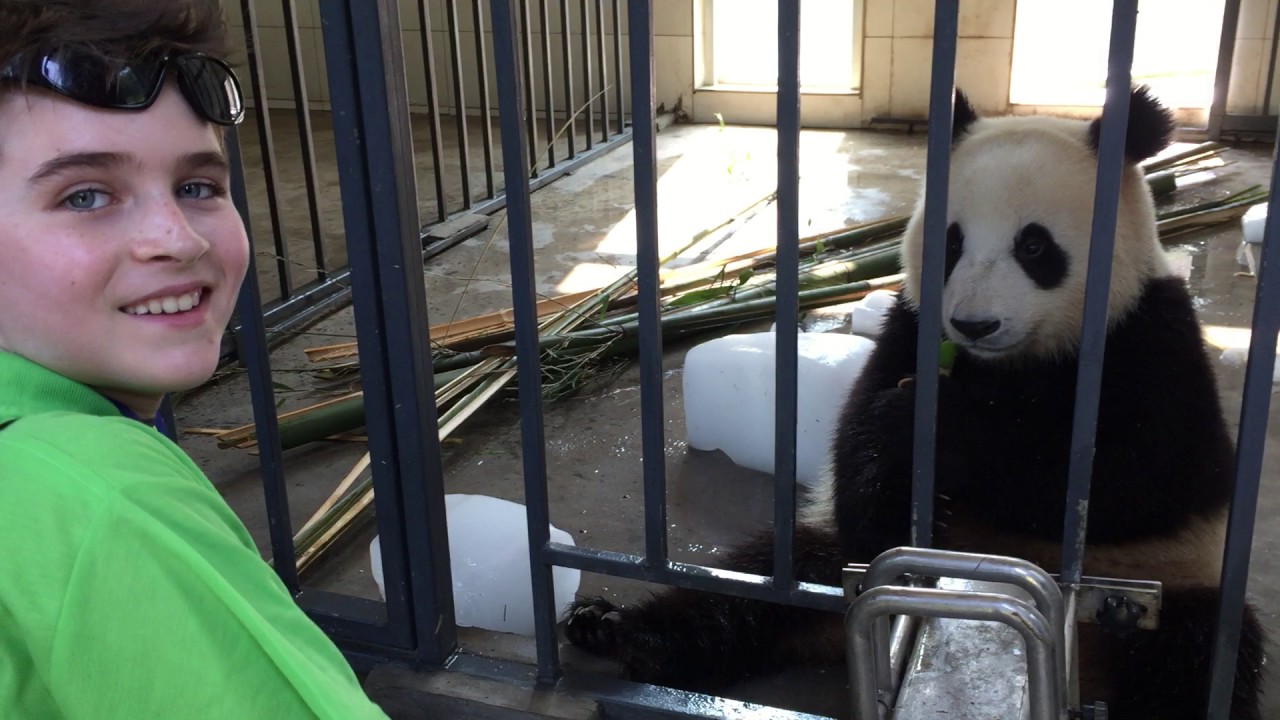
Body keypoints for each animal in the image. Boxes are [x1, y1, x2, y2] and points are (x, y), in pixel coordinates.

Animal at [565, 86, 1266, 719]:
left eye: (1034, 246)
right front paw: (903, 451)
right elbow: (855, 455)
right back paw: (620, 631)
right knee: (754, 588)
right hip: (833, 564)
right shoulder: (912, 326)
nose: (975, 324)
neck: (1008, 364)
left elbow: (1139, 478)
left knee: (1195, 659)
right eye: (950, 243)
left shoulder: (1151, 335)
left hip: (1156, 589)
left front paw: (946, 434)